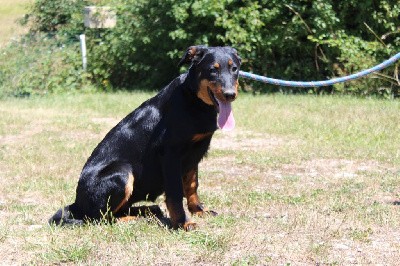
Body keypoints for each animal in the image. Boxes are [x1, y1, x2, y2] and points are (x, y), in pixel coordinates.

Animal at [49, 44, 242, 230]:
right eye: (212, 70)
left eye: (235, 69)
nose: (230, 95)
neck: (193, 99)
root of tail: (77, 204)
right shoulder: (170, 154)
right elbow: (176, 192)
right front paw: (182, 223)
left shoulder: (194, 154)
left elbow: (192, 185)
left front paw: (199, 210)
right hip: (122, 172)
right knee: (101, 218)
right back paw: (132, 218)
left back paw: (149, 210)